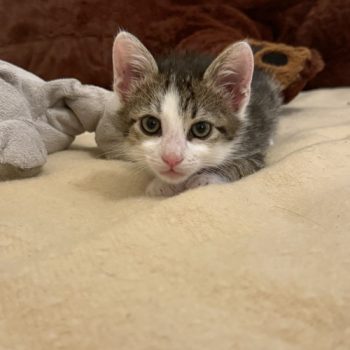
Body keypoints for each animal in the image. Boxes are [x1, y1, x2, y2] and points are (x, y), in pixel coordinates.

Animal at [95, 31, 282, 196]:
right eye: (150, 124)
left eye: (201, 128)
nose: (171, 158)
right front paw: (161, 183)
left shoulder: (252, 147)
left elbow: (242, 165)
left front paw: (206, 178)